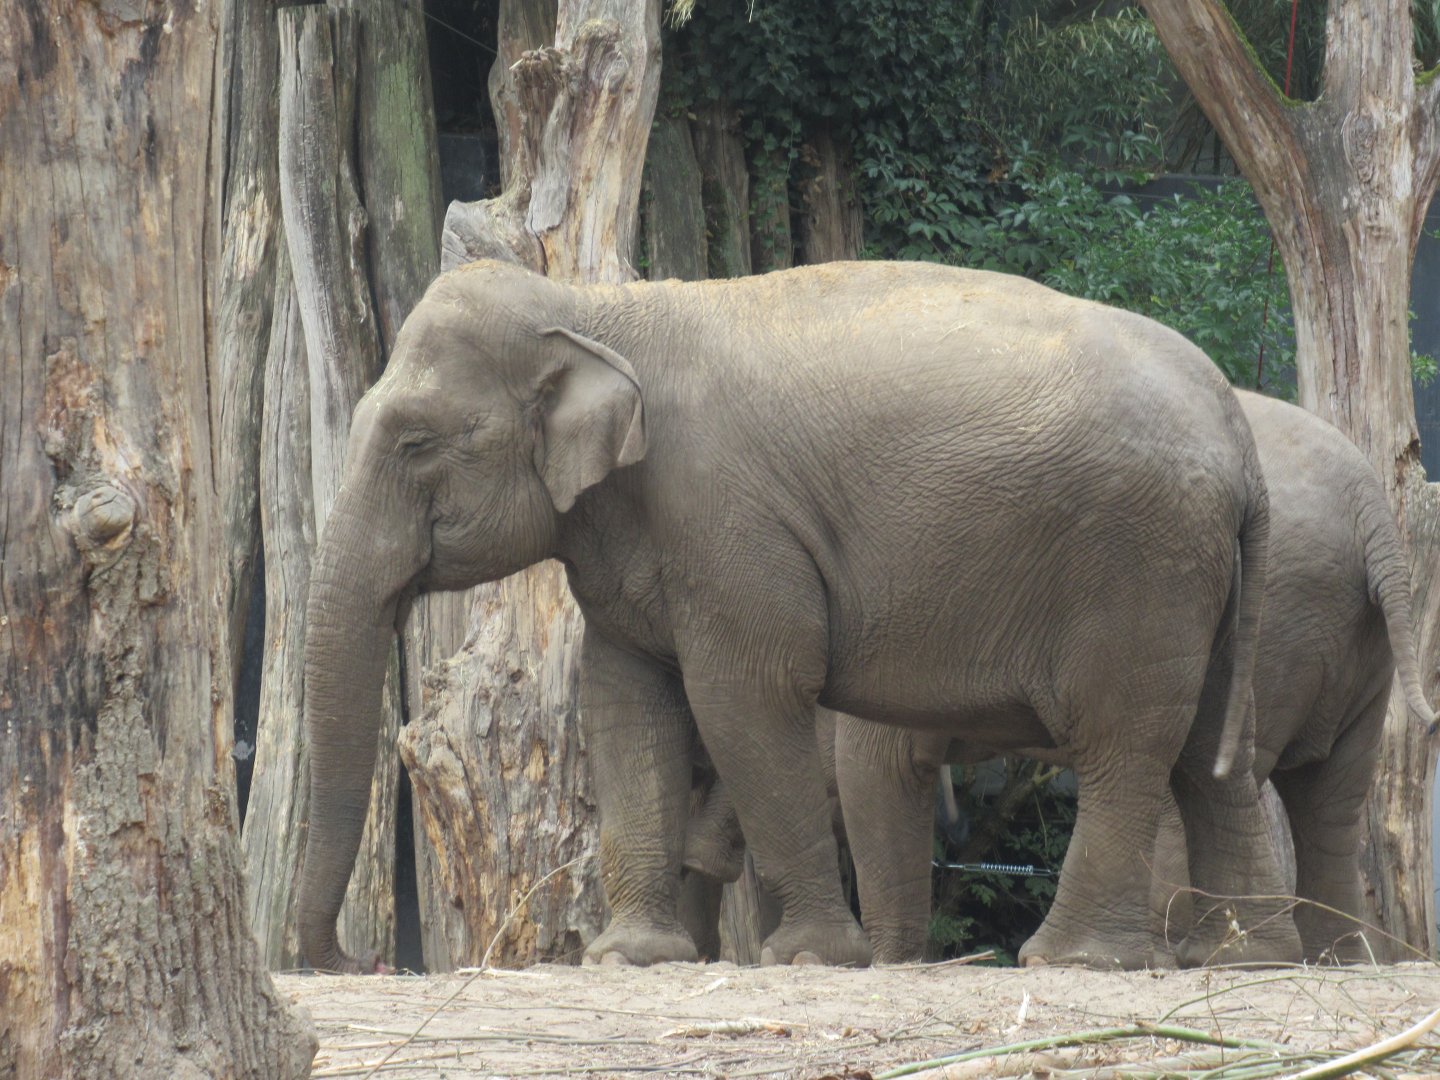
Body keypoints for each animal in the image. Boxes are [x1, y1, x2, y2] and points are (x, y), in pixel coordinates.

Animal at [297, 258, 1302, 974]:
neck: (597, 309)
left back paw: (1073, 961)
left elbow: (748, 695)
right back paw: (1237, 960)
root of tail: (1241, 444)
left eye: (415, 442)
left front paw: (811, 957)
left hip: (1140, 566)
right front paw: (630, 958)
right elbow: (626, 704)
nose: (354, 962)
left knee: (1124, 742)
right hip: (1197, 582)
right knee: (1209, 755)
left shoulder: (729, 520)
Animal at [683, 390, 1434, 966]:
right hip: (1349, 645)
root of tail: (1372, 510)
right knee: (1325, 794)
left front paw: (889, 962)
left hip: (1267, 611)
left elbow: (876, 767)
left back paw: (1176, 955)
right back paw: (1333, 958)